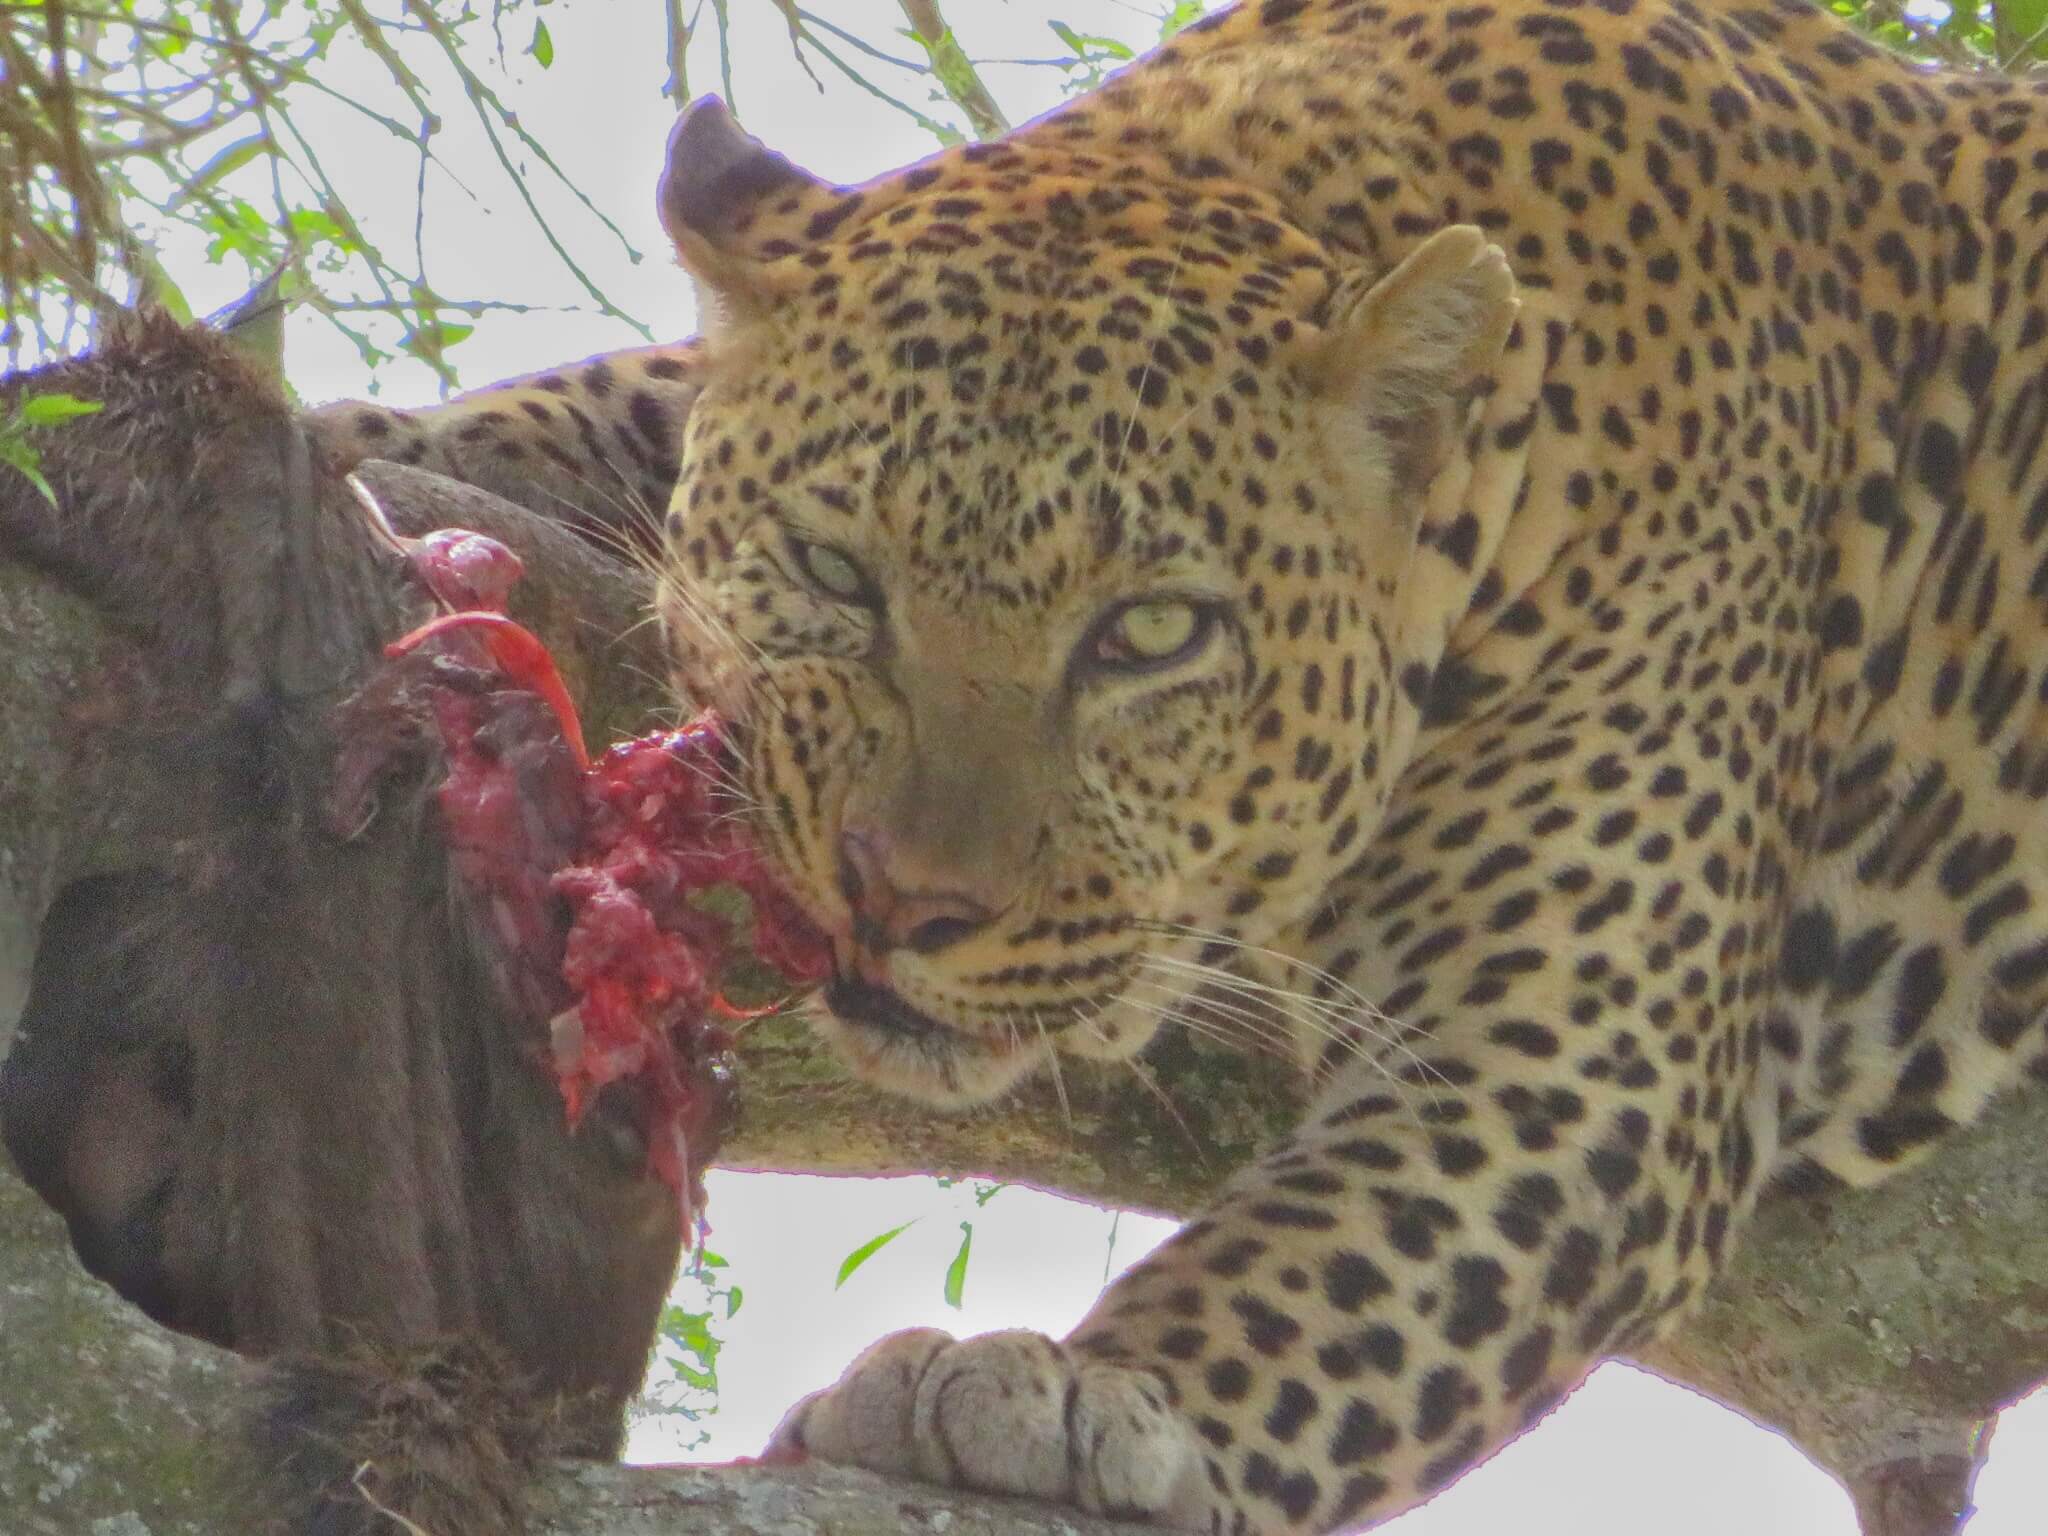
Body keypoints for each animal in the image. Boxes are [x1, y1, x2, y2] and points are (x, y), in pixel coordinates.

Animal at [618, 3, 2048, 1536]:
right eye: (834, 573)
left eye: (1152, 632)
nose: (901, 902)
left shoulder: (1569, 1066)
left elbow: (1311, 1276)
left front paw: (1088, 1390)